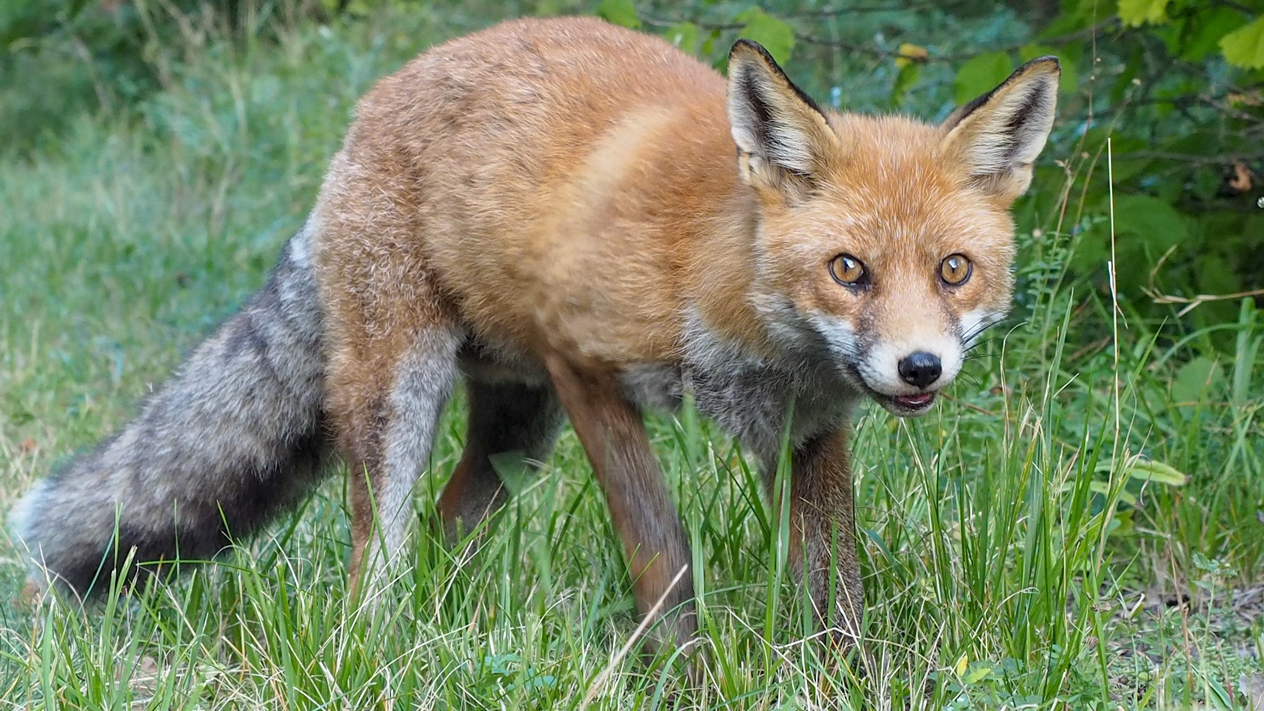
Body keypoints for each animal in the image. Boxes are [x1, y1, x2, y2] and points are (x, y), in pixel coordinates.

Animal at [10, 16, 1058, 652]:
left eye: (953, 270)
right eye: (849, 271)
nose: (919, 367)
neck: (723, 283)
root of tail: (377, 98)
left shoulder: (807, 426)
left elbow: (836, 587)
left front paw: (842, 679)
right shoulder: (585, 368)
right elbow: (662, 555)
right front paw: (684, 673)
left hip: (517, 434)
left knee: (444, 531)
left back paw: (433, 631)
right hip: (409, 396)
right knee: (379, 553)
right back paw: (373, 649)